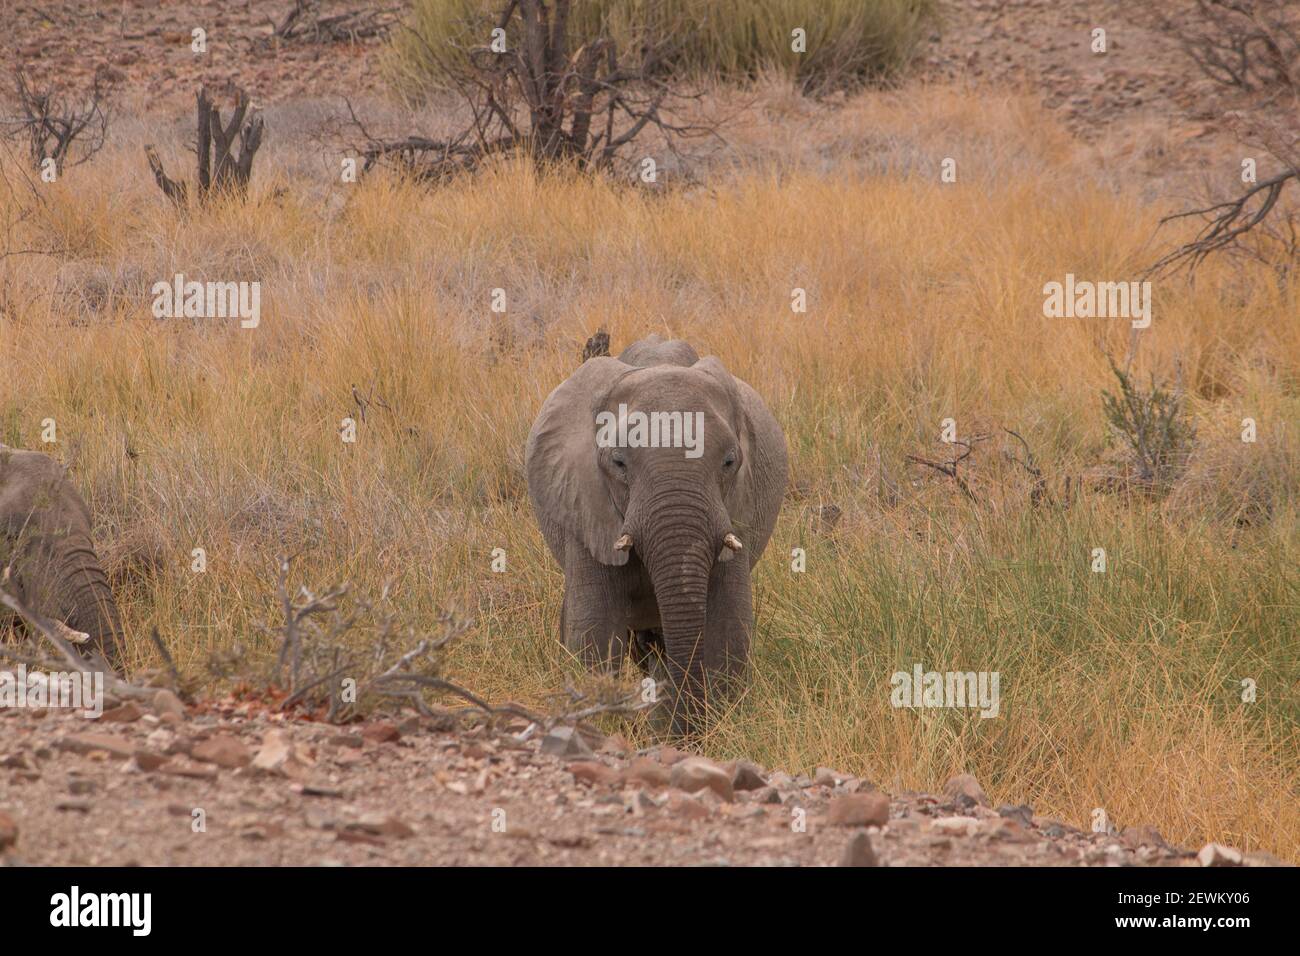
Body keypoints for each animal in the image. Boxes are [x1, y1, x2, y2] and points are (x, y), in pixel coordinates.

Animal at [522, 332, 785, 738]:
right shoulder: (586, 505)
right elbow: (594, 632)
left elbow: (728, 626)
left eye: (729, 462)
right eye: (618, 463)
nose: (689, 735)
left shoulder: (738, 510)